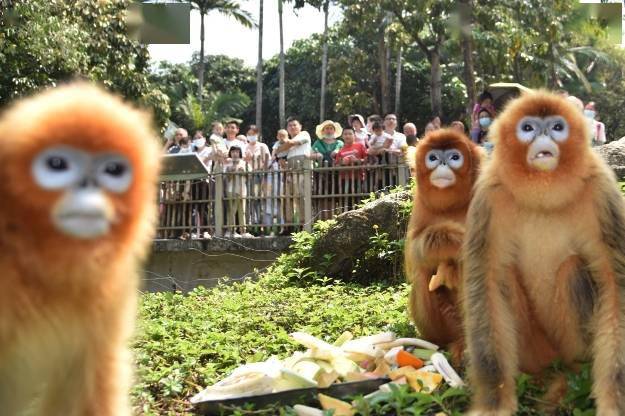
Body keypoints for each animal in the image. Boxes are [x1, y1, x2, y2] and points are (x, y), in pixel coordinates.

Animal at [404, 130, 482, 360]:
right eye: (433, 157)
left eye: (455, 157)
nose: (443, 163)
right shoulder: (420, 203)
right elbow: (413, 255)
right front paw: (451, 240)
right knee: (422, 276)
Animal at [460, 91, 624, 416]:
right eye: (528, 128)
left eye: (557, 127)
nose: (545, 136)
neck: (543, 194)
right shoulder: (489, 194)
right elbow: (485, 284)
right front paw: (494, 401)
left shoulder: (601, 189)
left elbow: (616, 283)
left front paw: (613, 400)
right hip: (533, 351)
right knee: (503, 278)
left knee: (574, 270)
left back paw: (569, 379)